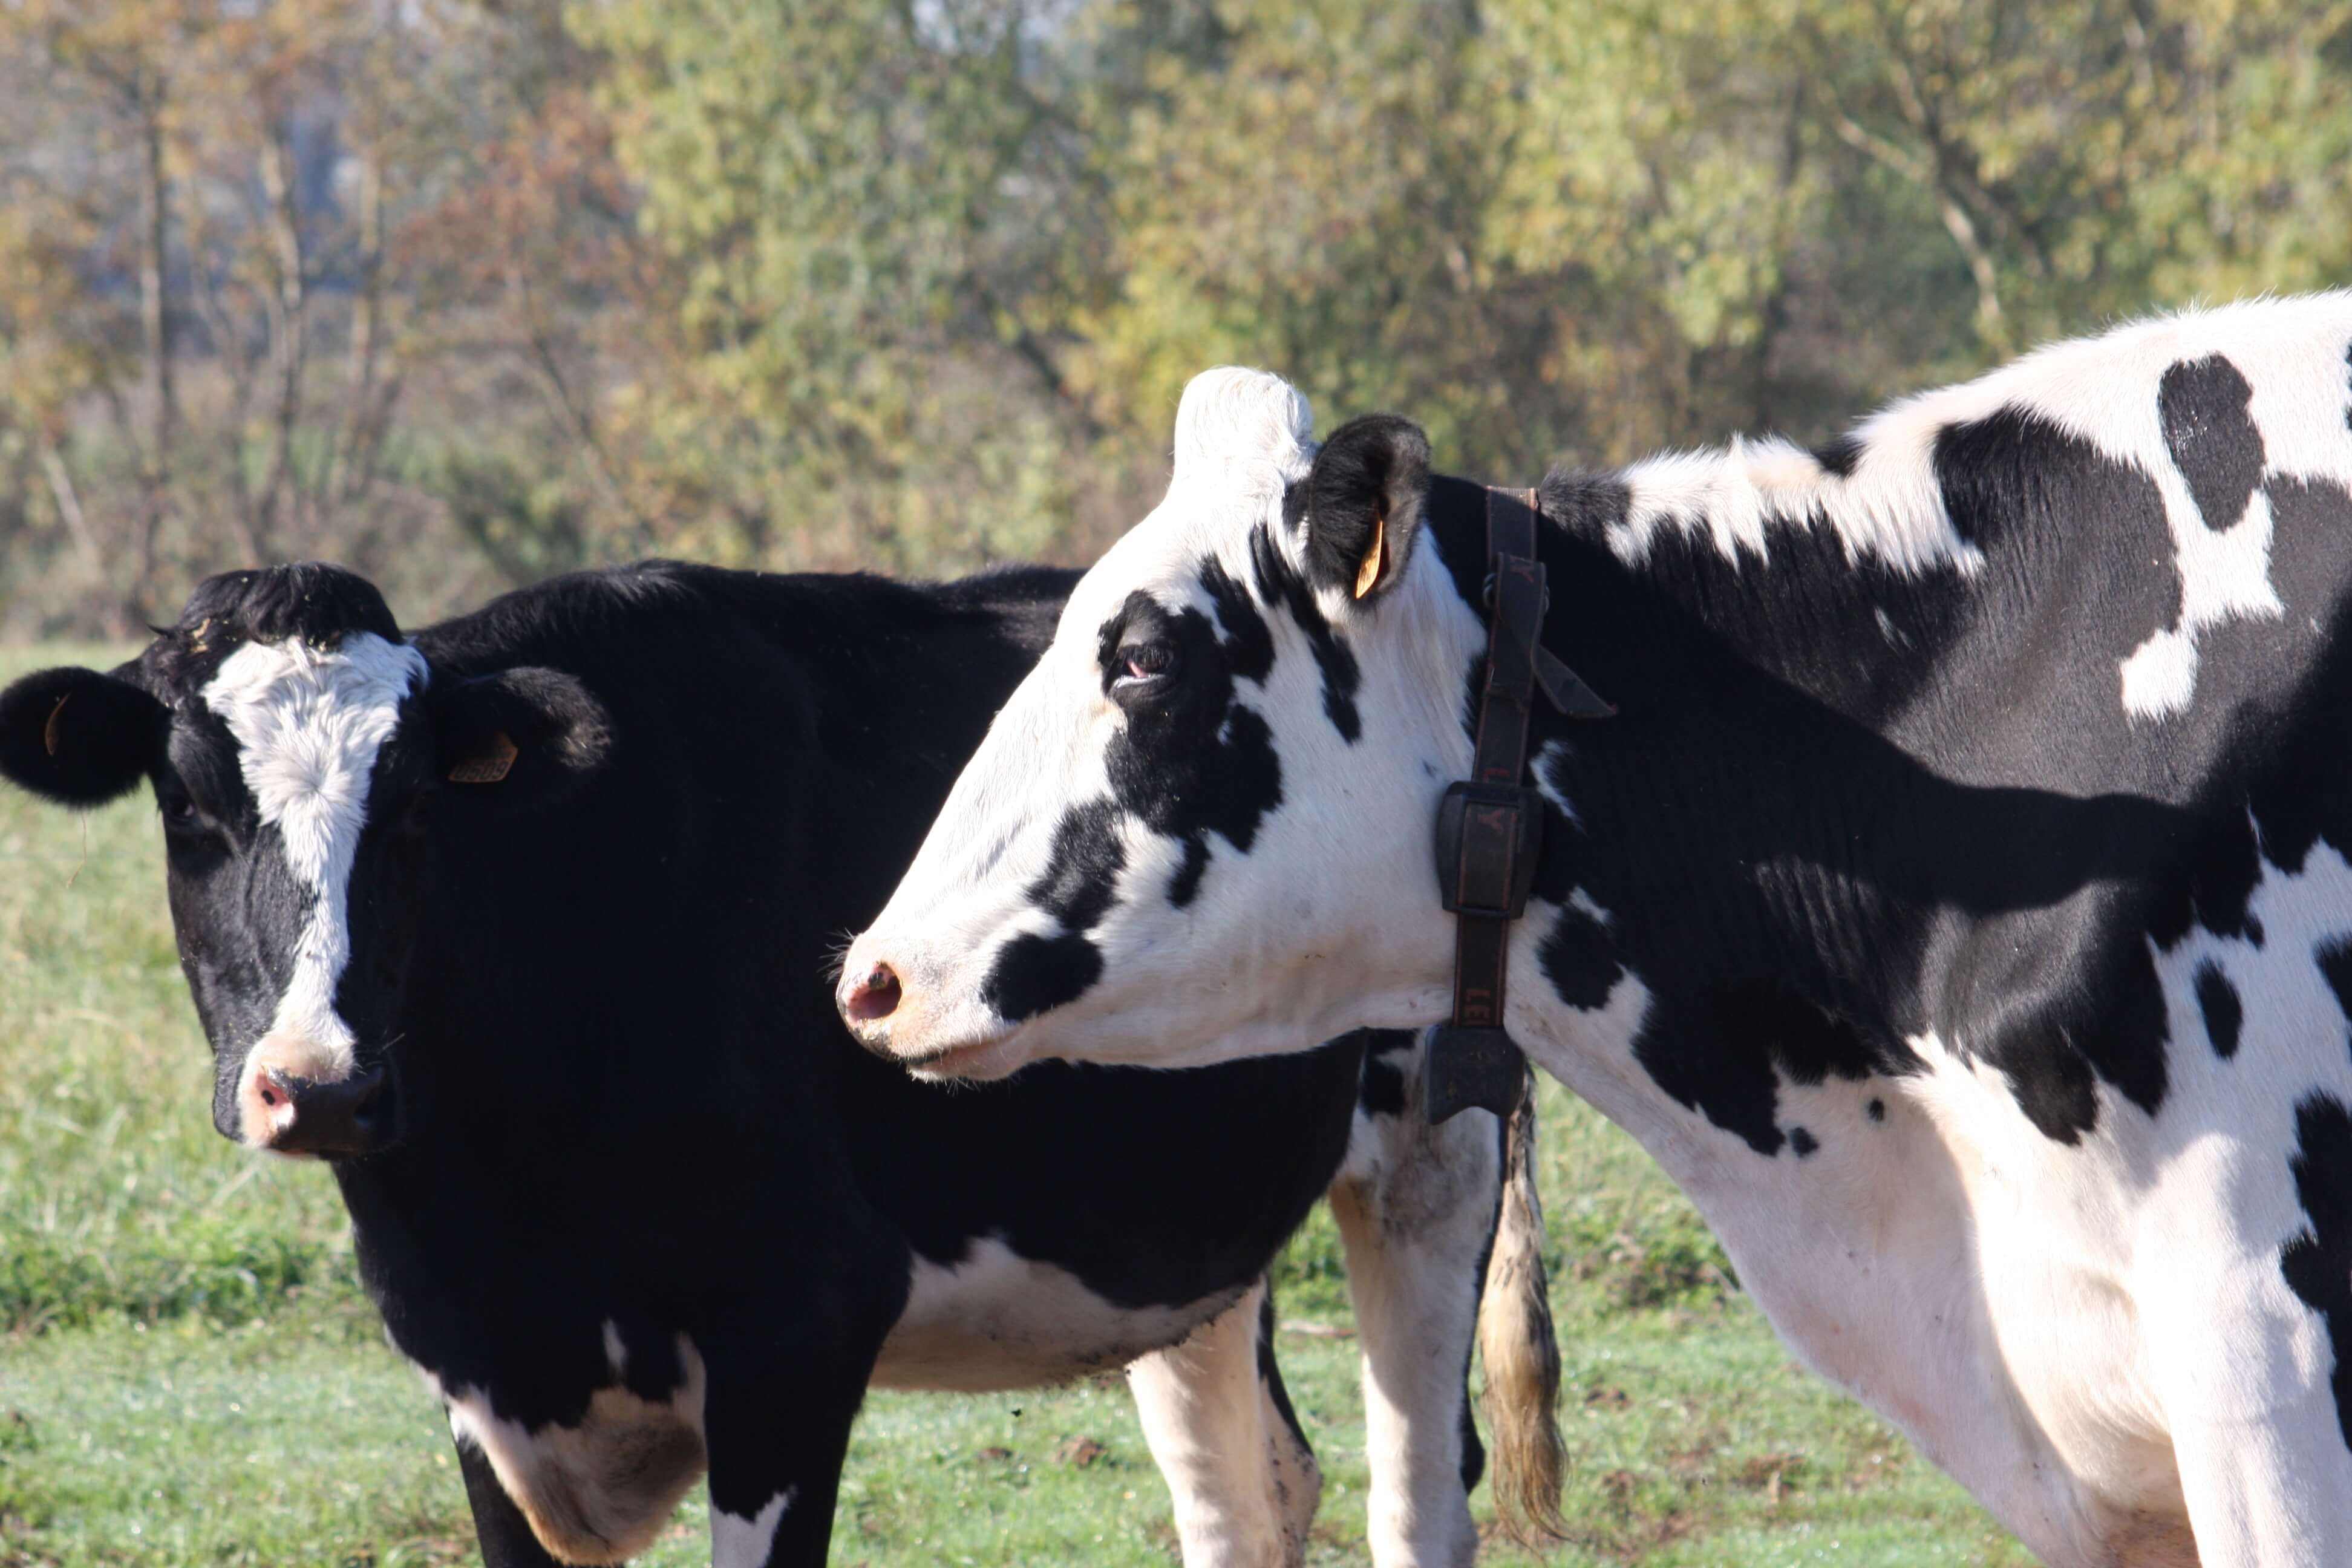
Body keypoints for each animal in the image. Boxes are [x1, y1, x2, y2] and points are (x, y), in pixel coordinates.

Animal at [0, 559, 1566, 1568]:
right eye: (187, 806)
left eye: (416, 813)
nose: (319, 1084)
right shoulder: (479, 1385)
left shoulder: (800, 1324)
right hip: (1179, 1231)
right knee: (1246, 1493)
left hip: (1432, 1152)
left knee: (1422, 1489)